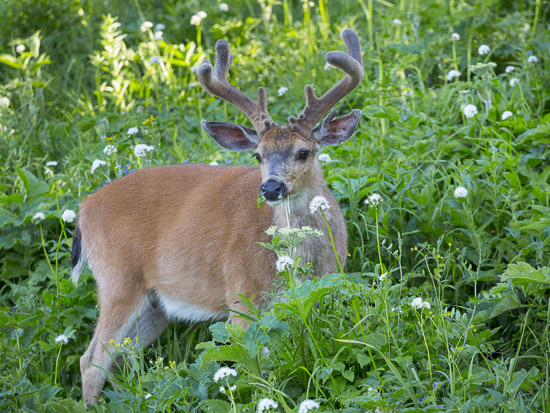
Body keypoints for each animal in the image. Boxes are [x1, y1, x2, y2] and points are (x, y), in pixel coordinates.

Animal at [73, 29, 366, 406]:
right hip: (117, 280)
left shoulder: (320, 291)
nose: (271, 187)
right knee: (91, 360)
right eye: (257, 155)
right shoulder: (242, 297)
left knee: (122, 358)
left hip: (155, 305)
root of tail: (84, 209)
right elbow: (256, 371)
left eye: (304, 152)